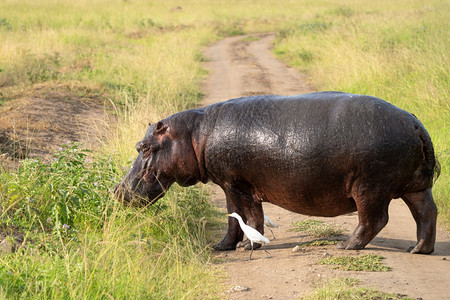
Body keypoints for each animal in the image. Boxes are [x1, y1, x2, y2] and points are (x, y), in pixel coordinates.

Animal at [113, 91, 440, 253]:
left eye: (144, 147)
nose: (116, 190)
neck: (194, 134)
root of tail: (415, 123)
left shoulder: (240, 184)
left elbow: (251, 217)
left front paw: (248, 246)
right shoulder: (227, 185)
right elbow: (232, 219)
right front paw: (221, 247)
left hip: (370, 187)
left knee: (374, 219)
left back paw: (347, 245)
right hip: (414, 186)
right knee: (427, 213)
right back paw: (417, 250)